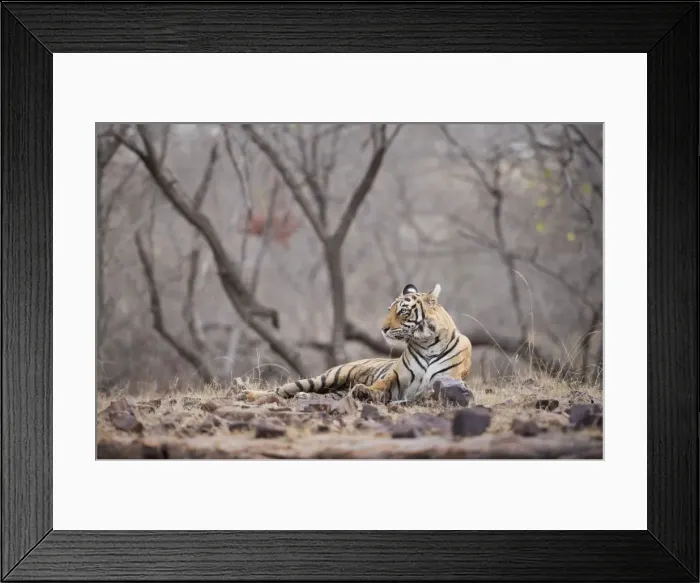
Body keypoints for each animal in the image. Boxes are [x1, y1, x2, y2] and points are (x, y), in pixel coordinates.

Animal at [277, 283, 472, 404]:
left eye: (403, 311)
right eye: (389, 310)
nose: (383, 329)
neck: (427, 343)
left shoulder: (446, 379)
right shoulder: (397, 377)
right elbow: (381, 383)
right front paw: (364, 390)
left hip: (334, 390)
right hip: (328, 377)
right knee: (286, 388)